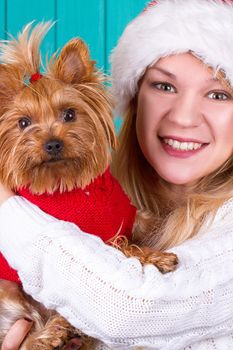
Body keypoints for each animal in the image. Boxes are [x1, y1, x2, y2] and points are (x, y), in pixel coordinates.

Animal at [0, 23, 178, 348]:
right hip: (9, 297)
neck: (74, 184)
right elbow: (123, 246)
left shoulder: (129, 213)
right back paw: (53, 333)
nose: (52, 143)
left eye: (69, 114)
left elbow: (146, 222)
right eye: (23, 123)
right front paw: (157, 257)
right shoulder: (91, 238)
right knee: (25, 334)